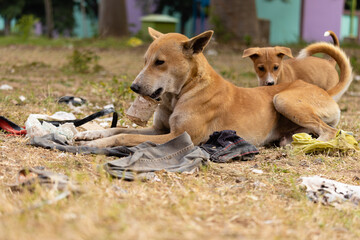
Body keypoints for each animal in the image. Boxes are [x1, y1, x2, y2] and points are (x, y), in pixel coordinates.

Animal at [74, 27, 352, 148]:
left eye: (159, 62)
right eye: (144, 60)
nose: (134, 87)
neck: (185, 91)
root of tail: (326, 91)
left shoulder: (179, 136)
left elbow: (126, 135)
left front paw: (96, 144)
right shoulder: (159, 130)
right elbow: (118, 128)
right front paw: (91, 133)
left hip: (283, 99)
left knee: (329, 131)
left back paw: (308, 145)